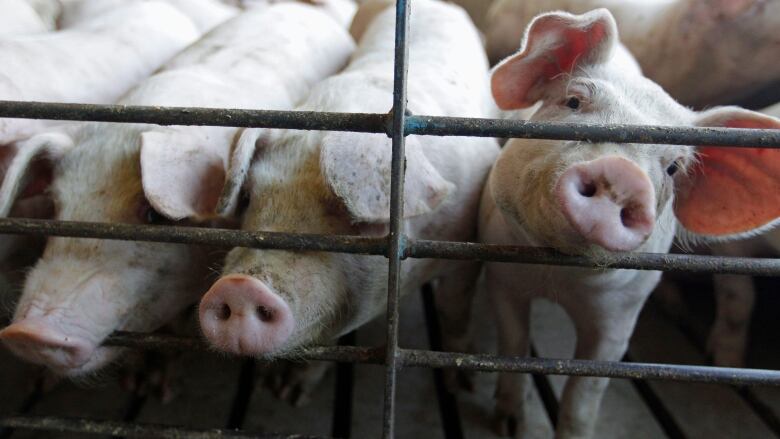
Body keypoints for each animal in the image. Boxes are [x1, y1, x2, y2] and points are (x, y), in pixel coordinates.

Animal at [197, 0, 500, 388]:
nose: (239, 286)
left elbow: (454, 307)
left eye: (354, 216)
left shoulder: (467, 247)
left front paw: (464, 384)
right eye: (248, 198)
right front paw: (285, 389)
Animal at [482, 7, 780, 439]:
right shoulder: (502, 276)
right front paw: (506, 424)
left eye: (673, 167)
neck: (557, 279)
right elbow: (514, 346)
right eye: (573, 101)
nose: (622, 173)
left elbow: (584, 394)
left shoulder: (621, 317)